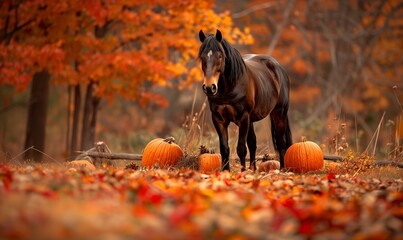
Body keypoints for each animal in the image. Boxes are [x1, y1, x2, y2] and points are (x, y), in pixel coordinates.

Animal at [199, 30, 294, 172]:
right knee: (253, 142)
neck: (230, 87)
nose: (210, 88)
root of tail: (277, 67)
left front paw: (243, 172)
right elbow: (225, 148)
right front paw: (226, 172)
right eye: (202, 57)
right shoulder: (218, 119)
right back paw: (253, 168)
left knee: (281, 141)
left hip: (279, 113)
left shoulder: (243, 117)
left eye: (220, 56)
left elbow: (241, 148)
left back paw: (282, 169)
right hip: (252, 119)